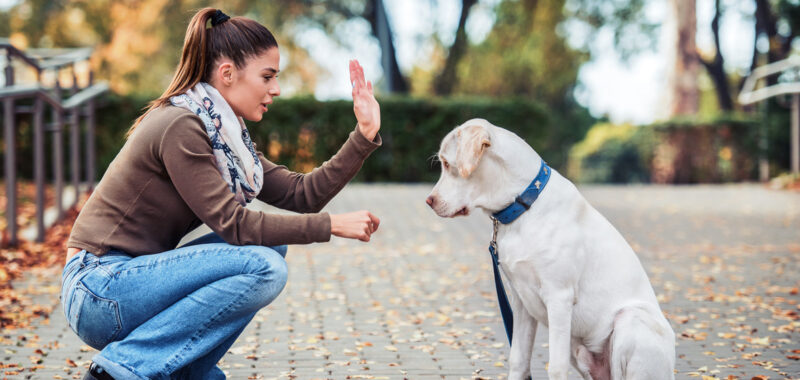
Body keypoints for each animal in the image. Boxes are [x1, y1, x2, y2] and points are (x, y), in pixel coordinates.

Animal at [424, 119, 676, 380]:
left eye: (447, 163)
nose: (429, 201)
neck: (523, 207)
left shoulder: (559, 297)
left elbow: (556, 367)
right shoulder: (520, 300)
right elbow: (518, 359)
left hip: (631, 319)